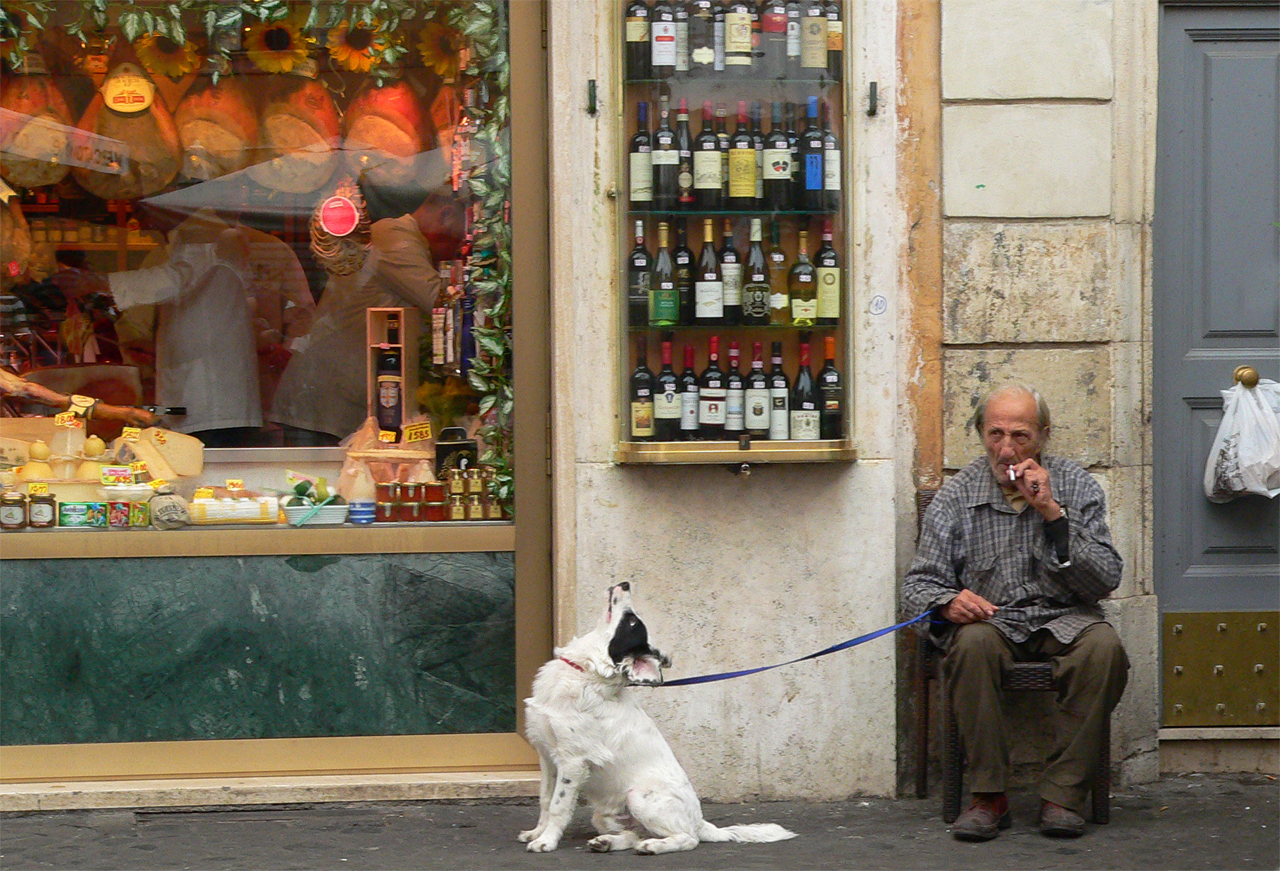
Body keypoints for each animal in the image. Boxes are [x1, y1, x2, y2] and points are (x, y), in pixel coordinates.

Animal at [514, 581, 793, 855]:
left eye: (632, 622)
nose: (625, 583)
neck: (585, 673)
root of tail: (701, 822)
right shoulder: (548, 757)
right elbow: (545, 800)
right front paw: (537, 832)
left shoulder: (573, 761)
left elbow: (558, 806)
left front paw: (546, 841)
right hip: (606, 814)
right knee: (633, 834)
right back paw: (608, 842)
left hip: (639, 796)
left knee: (688, 839)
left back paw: (654, 846)